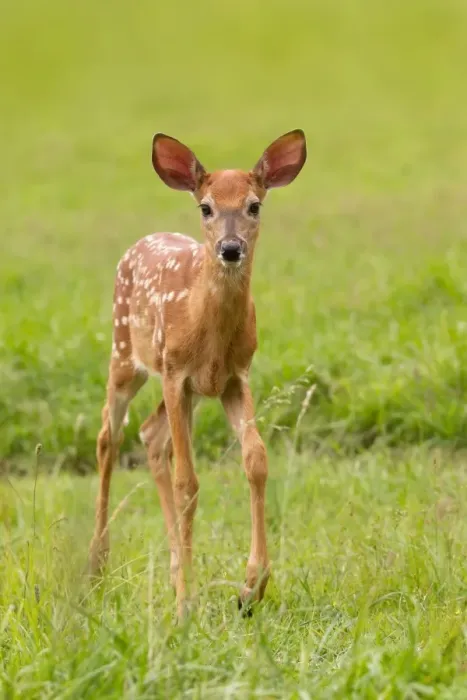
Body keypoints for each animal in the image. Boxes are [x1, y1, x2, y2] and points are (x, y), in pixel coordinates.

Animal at [89, 129, 307, 618]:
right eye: (205, 207)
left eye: (254, 205)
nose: (230, 248)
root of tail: (142, 241)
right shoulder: (175, 373)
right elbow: (187, 481)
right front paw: (185, 604)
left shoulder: (234, 377)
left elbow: (256, 460)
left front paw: (250, 588)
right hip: (125, 354)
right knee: (109, 436)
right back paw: (97, 567)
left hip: (182, 391)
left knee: (150, 435)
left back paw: (171, 568)